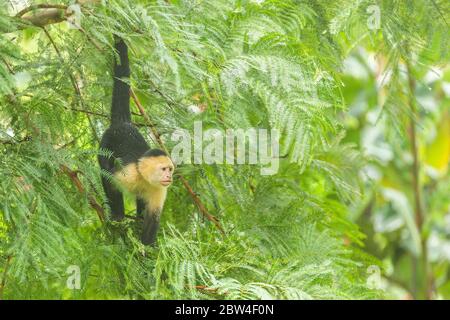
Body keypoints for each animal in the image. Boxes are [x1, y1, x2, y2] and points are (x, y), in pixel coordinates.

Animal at [98, 37, 174, 245]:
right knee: (104, 165)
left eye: (170, 170)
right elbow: (109, 179)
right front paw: (117, 218)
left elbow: (152, 218)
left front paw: (147, 246)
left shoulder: (159, 190)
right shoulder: (129, 173)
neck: (144, 178)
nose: (169, 177)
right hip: (106, 142)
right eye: (163, 169)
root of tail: (123, 123)